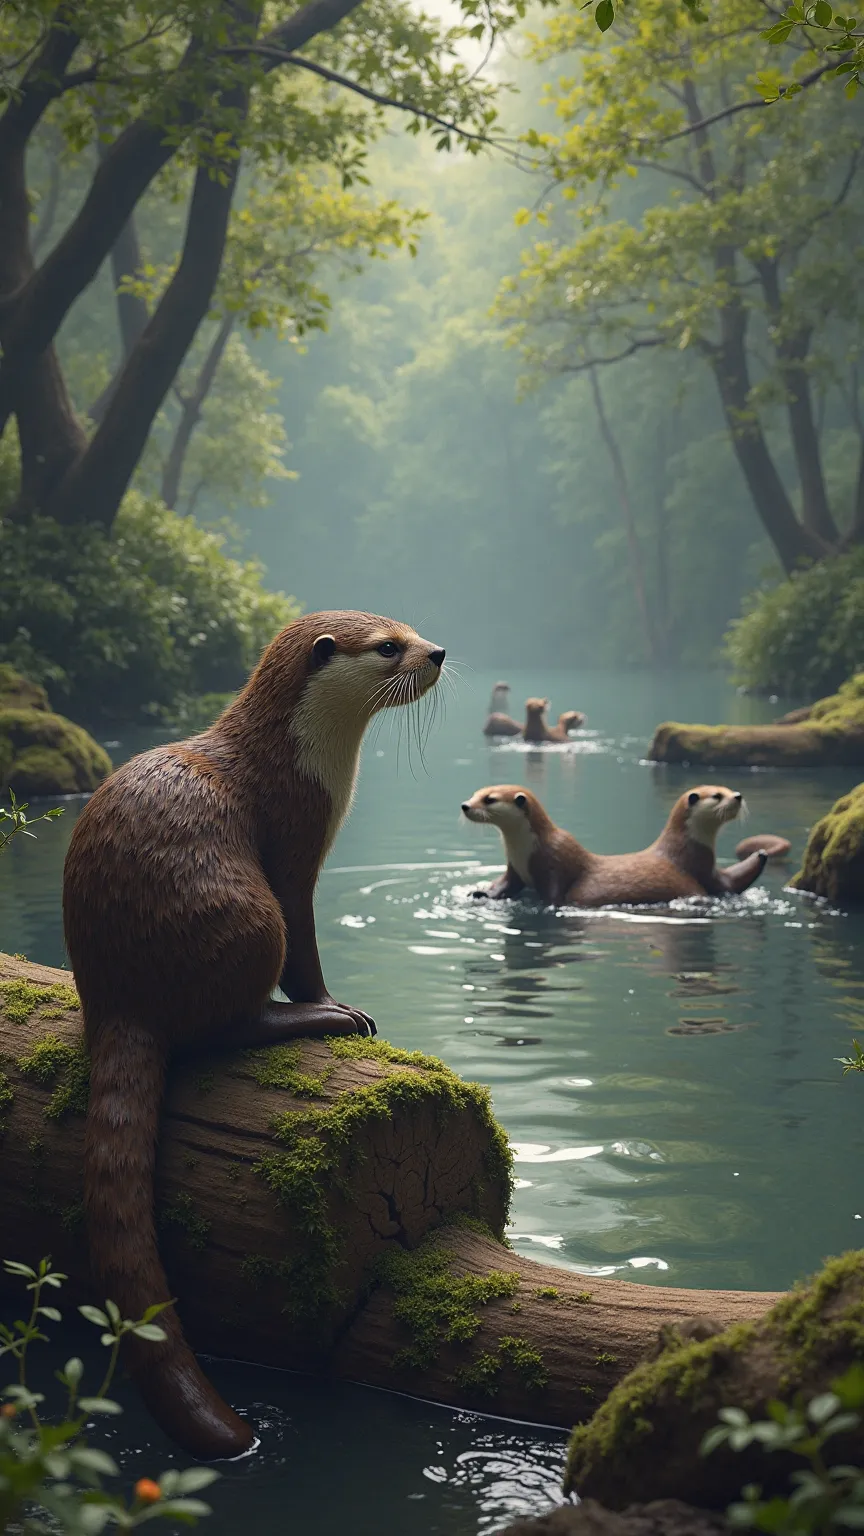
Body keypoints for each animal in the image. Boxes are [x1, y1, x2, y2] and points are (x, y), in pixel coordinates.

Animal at [63, 611, 442, 1462]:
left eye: (409, 626)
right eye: (388, 646)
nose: (438, 652)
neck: (310, 763)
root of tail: (119, 994)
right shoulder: (295, 846)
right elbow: (306, 952)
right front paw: (334, 1003)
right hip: (243, 912)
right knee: (225, 1024)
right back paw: (315, 1021)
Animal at [461, 786, 762, 903]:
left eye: (489, 799)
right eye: (476, 793)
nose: (465, 805)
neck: (524, 849)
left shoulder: (553, 865)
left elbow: (556, 896)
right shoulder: (515, 868)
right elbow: (505, 886)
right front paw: (481, 893)